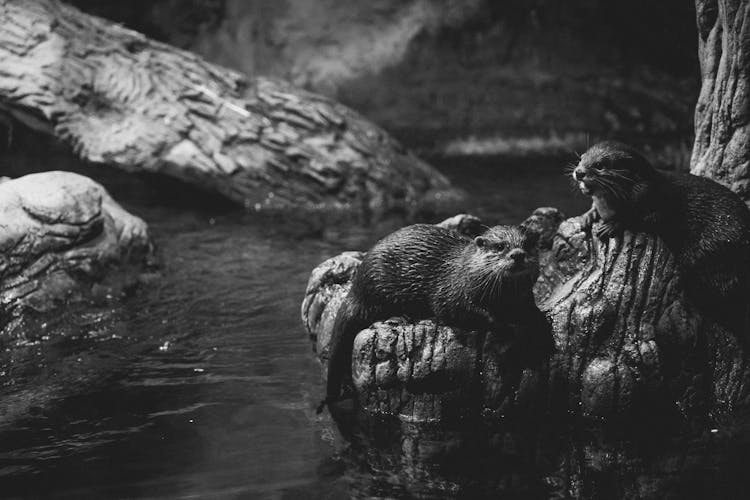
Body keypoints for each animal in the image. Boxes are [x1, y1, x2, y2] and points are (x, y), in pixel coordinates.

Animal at [320, 225, 556, 412]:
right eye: (500, 246)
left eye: (527, 244)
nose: (518, 254)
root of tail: (356, 287)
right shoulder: (453, 294)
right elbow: (467, 313)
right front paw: (505, 326)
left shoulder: (524, 299)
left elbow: (532, 312)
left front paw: (543, 326)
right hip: (377, 289)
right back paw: (401, 317)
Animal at [572, 141, 750, 336]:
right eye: (581, 158)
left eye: (599, 165)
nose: (579, 172)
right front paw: (587, 216)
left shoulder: (656, 202)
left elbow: (642, 218)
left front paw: (612, 225)